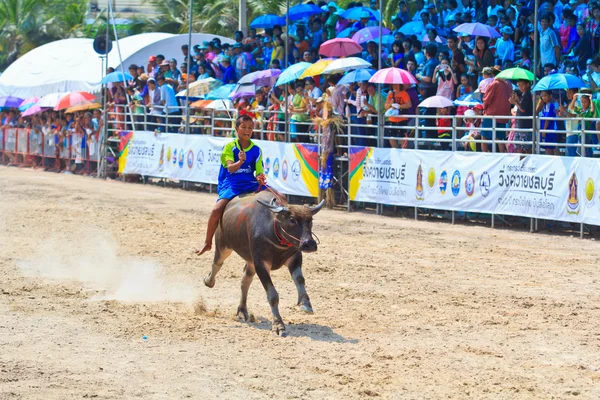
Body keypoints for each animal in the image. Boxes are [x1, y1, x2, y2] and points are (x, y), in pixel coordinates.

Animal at [202, 190, 324, 334]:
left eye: (310, 220)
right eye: (292, 219)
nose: (309, 244)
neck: (275, 235)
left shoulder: (294, 257)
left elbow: (300, 279)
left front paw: (305, 304)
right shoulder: (261, 264)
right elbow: (272, 295)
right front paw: (278, 324)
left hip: (250, 261)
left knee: (245, 281)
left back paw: (242, 310)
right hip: (223, 246)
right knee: (217, 264)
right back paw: (208, 281)